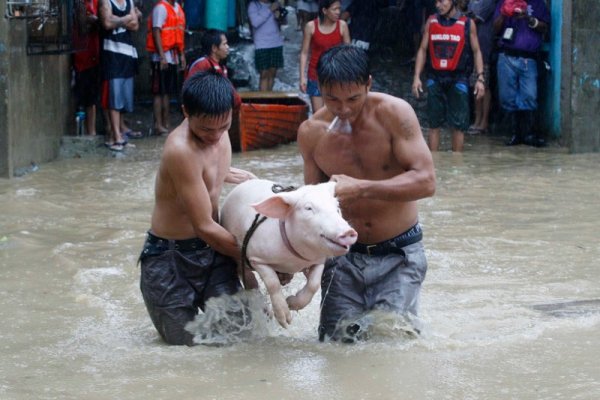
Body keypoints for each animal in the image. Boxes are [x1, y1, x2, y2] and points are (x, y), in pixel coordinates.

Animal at [223, 179, 358, 328]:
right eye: (308, 208)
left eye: (337, 207)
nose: (349, 232)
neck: (293, 262)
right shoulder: (256, 258)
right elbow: (273, 283)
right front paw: (285, 321)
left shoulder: (319, 260)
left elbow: (314, 284)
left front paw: (291, 303)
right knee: (247, 278)